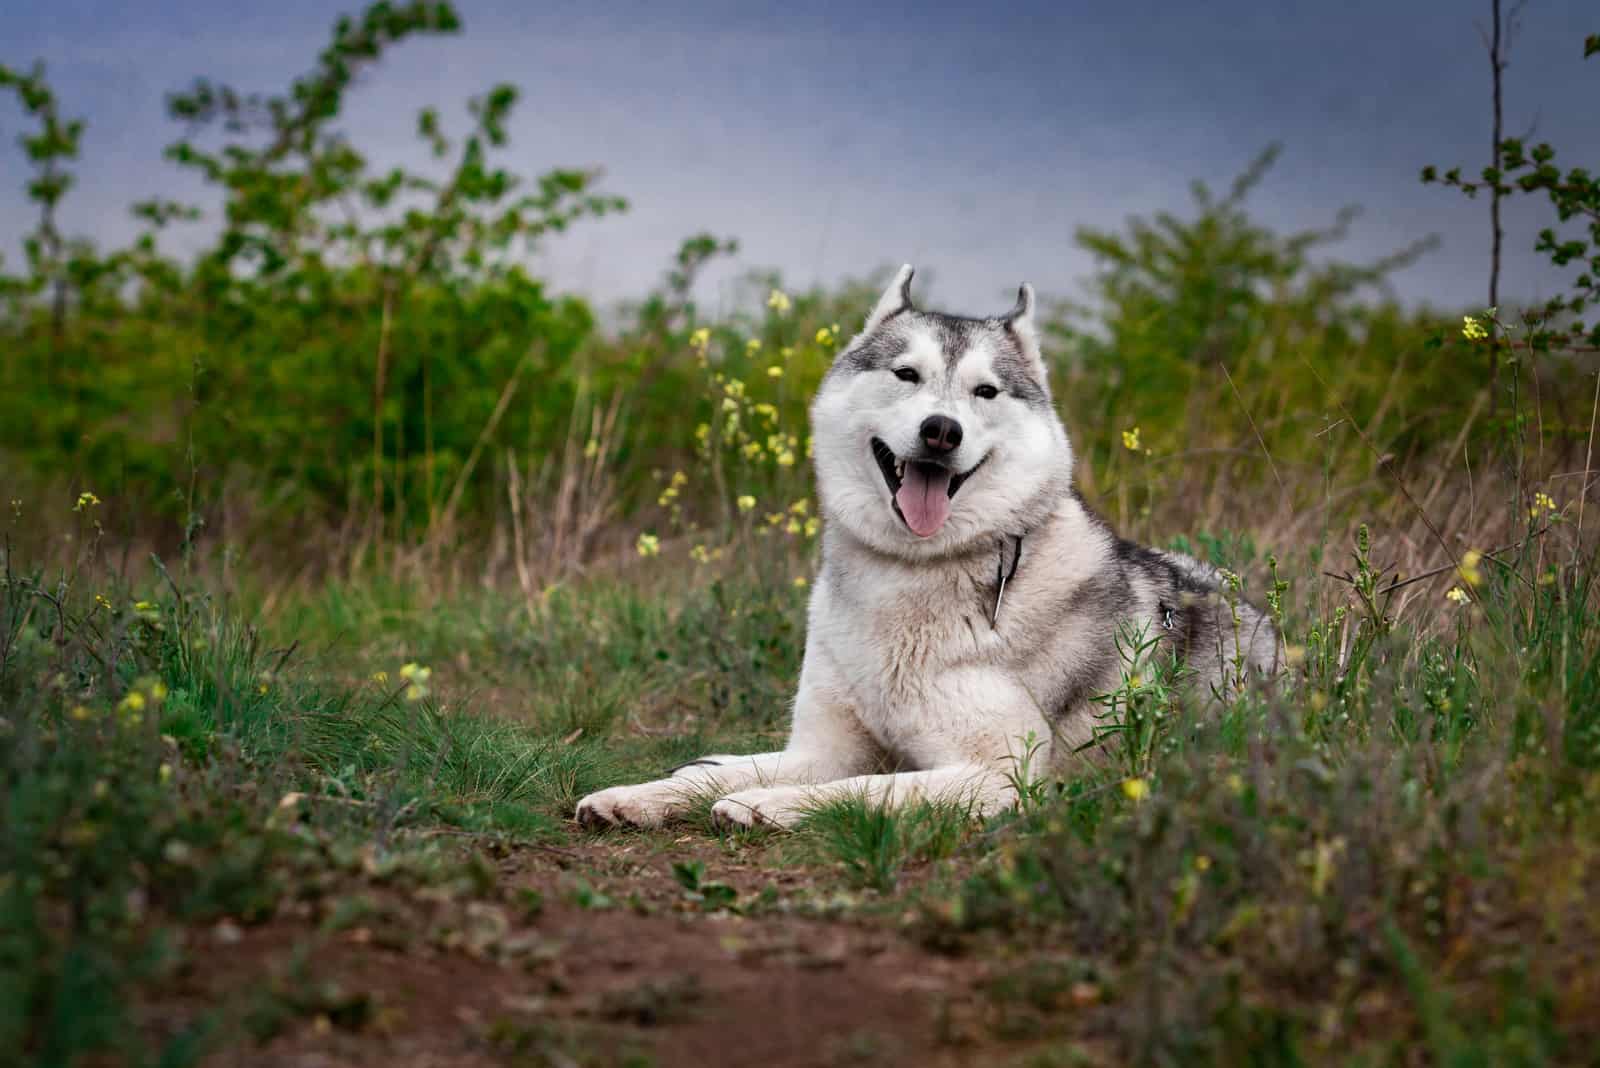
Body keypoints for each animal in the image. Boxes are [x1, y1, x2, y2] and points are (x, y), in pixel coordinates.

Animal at [576, 262, 1273, 831]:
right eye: (906, 375)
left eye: (985, 391)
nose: (941, 431)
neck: (912, 570)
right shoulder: (823, 748)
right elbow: (731, 772)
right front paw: (636, 796)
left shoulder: (999, 775)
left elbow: (864, 788)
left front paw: (764, 805)